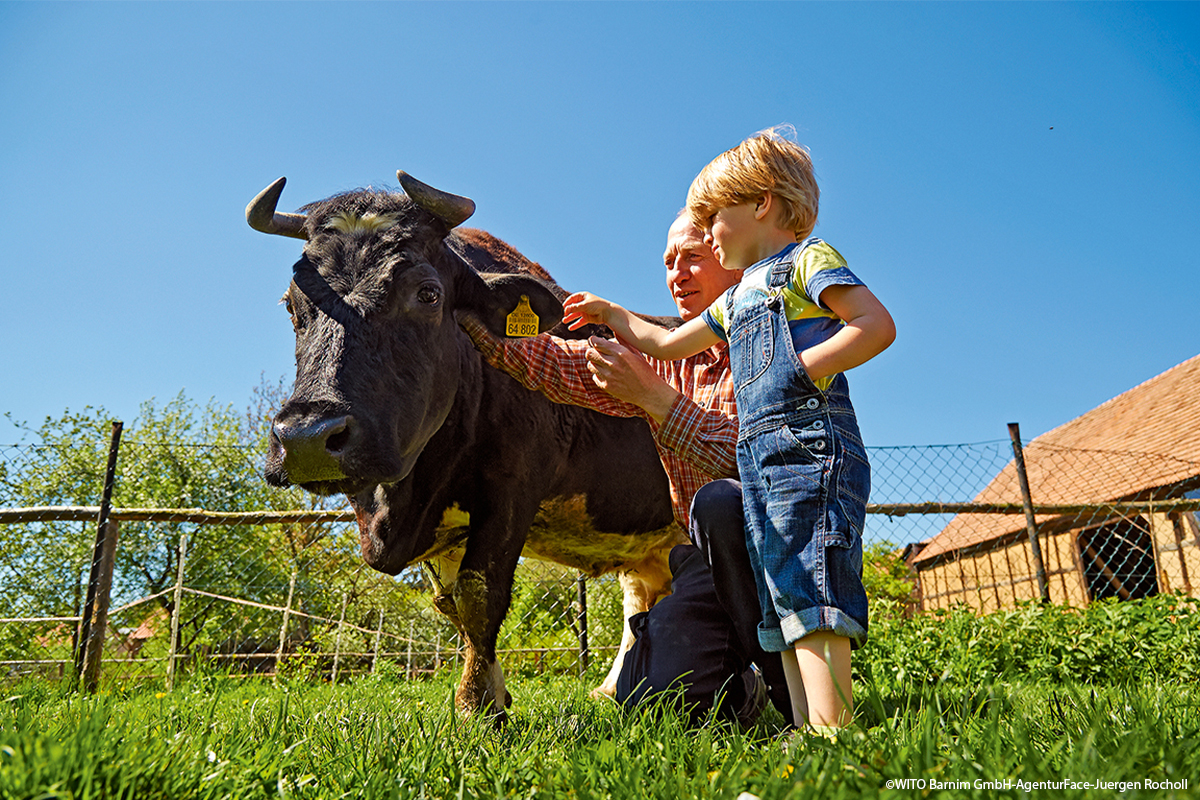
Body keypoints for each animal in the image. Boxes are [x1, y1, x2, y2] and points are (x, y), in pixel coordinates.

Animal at [243, 170, 686, 719]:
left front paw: (477, 706)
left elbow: (480, 594)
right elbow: (450, 605)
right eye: (291, 305)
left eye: (428, 293)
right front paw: (493, 691)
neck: (408, 495)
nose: (306, 437)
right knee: (644, 594)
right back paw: (614, 691)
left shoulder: (513, 489)